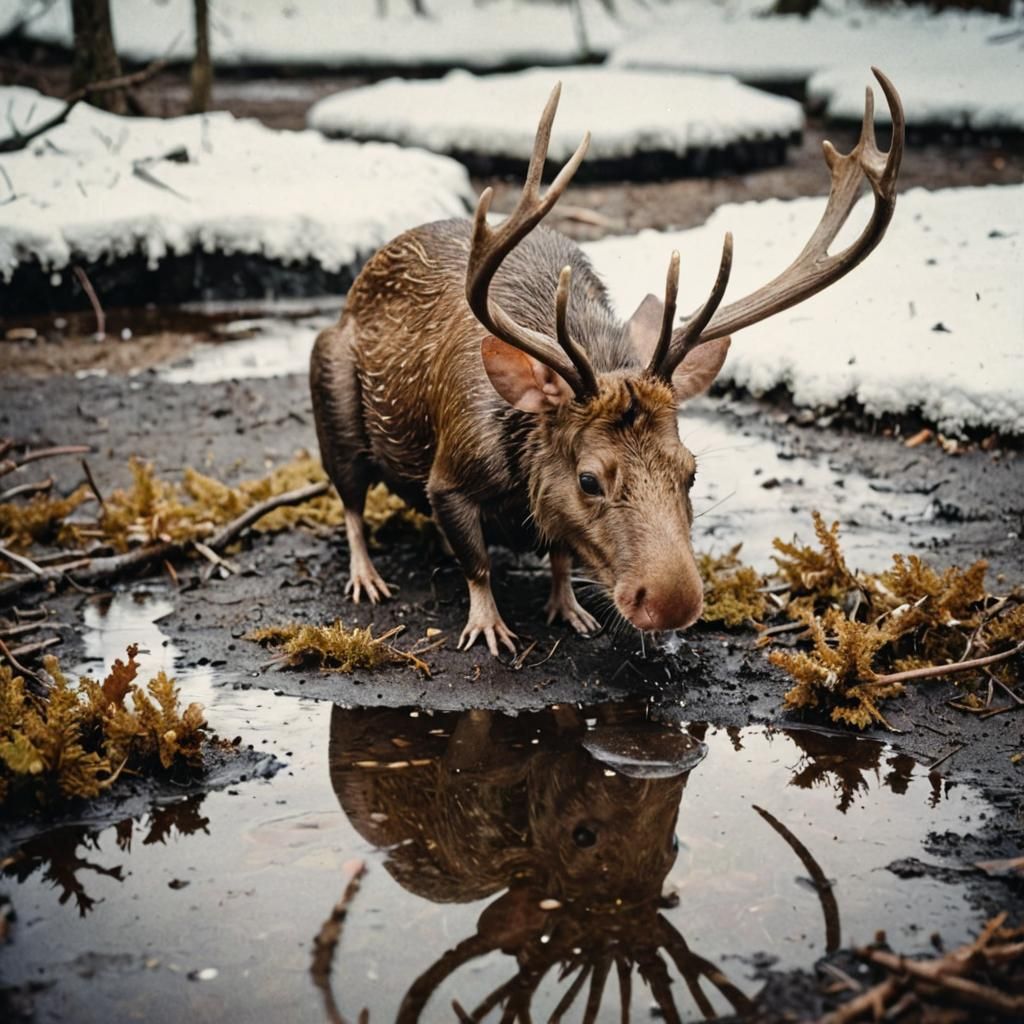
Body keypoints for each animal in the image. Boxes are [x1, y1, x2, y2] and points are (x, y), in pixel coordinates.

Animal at [310, 69, 904, 656]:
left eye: (690, 471)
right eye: (590, 480)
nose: (673, 602)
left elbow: (561, 551)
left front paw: (568, 606)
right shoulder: (451, 470)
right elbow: (475, 561)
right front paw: (489, 626)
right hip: (329, 379)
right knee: (350, 497)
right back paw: (366, 576)